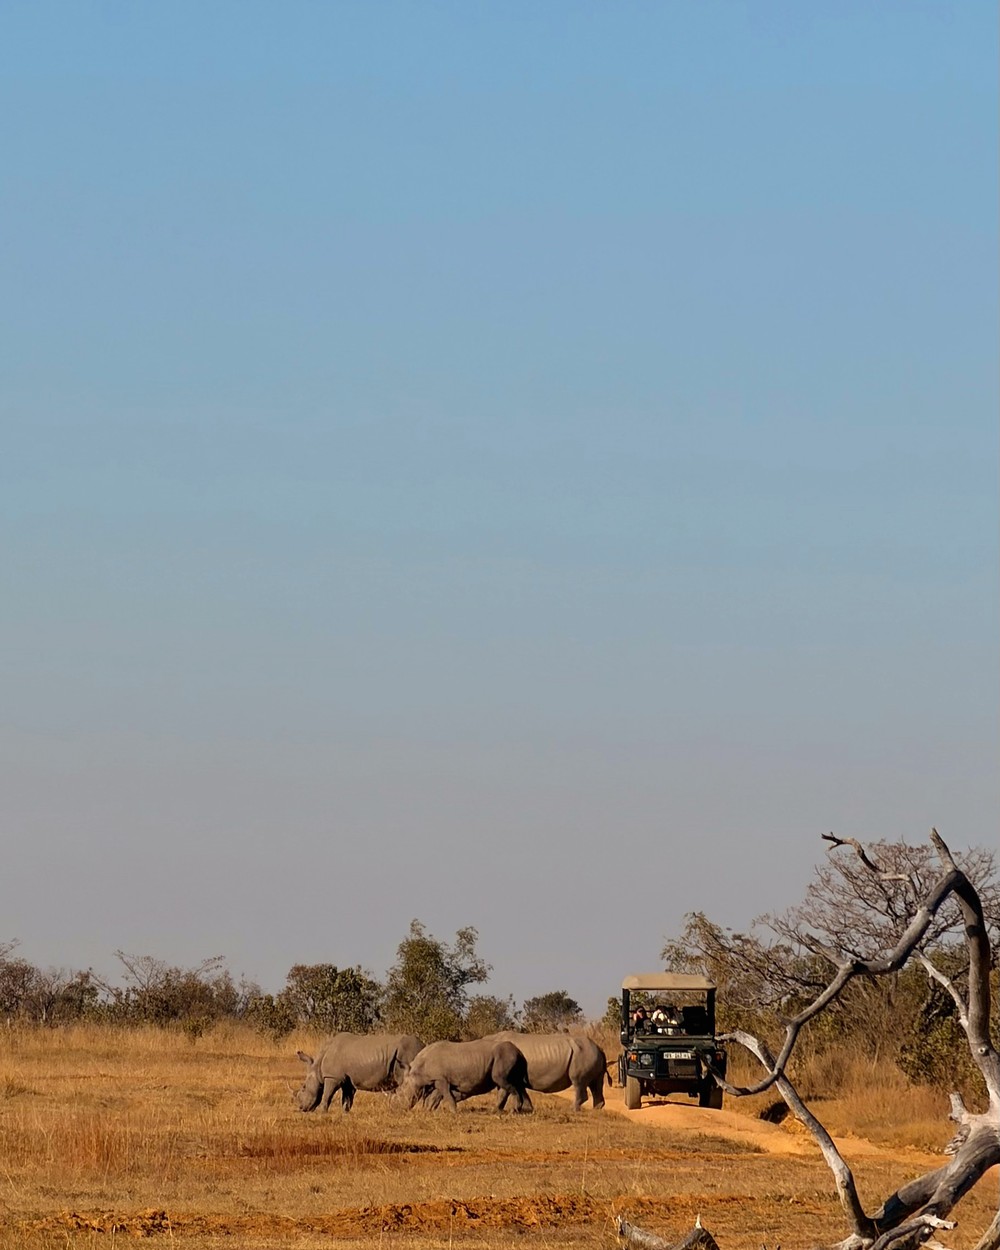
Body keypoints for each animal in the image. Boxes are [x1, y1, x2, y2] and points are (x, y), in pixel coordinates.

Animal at [295, 1033, 424, 1112]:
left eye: (303, 1087)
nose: (301, 1108)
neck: (317, 1067)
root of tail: (423, 1045)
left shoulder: (332, 1077)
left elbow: (327, 1096)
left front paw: (323, 1113)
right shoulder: (347, 1080)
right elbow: (347, 1099)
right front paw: (345, 1113)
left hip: (407, 1053)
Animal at [395, 1037, 533, 1113]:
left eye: (401, 1094)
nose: (397, 1108)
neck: (417, 1070)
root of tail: (520, 1052)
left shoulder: (441, 1079)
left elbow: (446, 1095)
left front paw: (454, 1112)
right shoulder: (438, 1080)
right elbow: (436, 1097)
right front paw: (428, 1110)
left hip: (505, 1056)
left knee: (501, 1080)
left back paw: (513, 1110)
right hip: (507, 1057)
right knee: (506, 1083)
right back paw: (497, 1111)